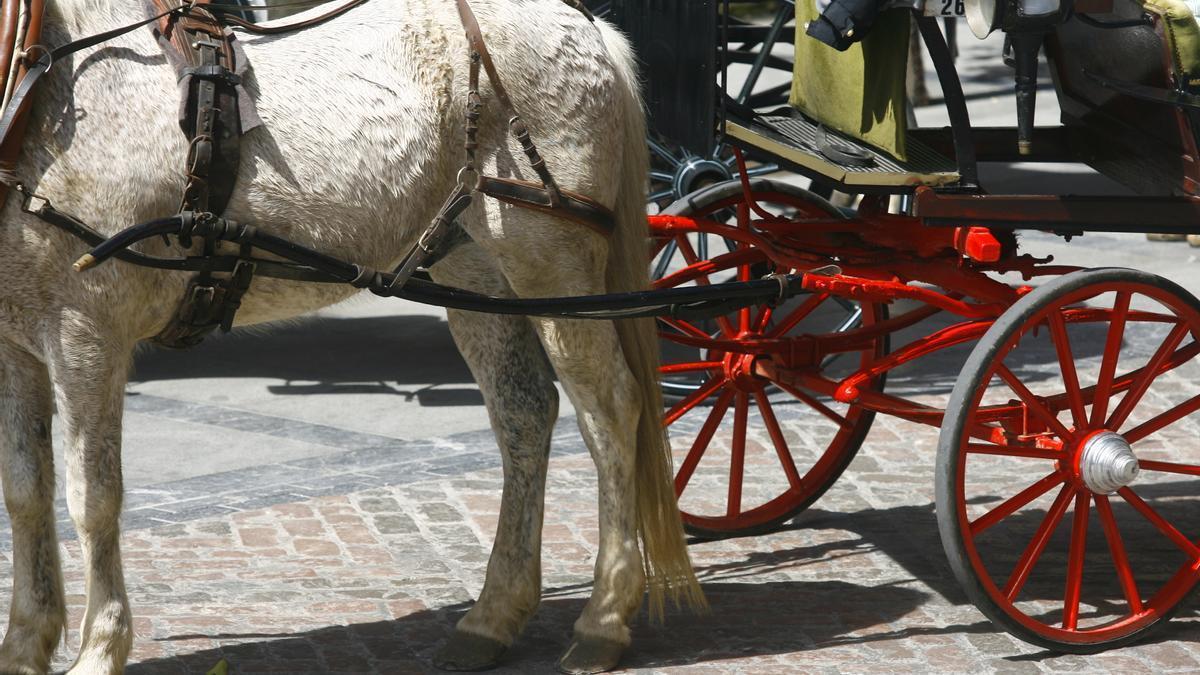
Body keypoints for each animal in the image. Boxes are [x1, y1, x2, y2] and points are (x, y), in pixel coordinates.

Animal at [0, 1, 700, 667]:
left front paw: (99, 648)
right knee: (524, 414)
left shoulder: (87, 333)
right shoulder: (14, 346)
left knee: (612, 414)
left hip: (553, 264)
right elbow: (25, 491)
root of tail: (582, 21)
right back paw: (493, 616)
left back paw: (603, 618)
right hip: (475, 271)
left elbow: (92, 498)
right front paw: (26, 644)